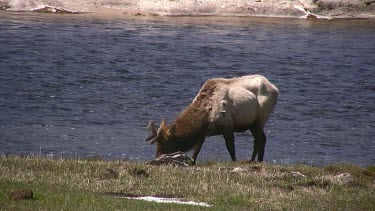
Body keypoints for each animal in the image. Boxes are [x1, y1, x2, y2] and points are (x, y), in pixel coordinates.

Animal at [146, 75, 280, 164]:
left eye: (164, 143)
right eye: (157, 143)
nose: (156, 158)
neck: (204, 118)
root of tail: (275, 89)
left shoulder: (227, 126)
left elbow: (231, 148)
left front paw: (234, 161)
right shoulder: (202, 133)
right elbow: (196, 150)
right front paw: (192, 163)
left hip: (260, 118)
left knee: (258, 139)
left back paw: (252, 160)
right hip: (252, 123)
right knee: (263, 138)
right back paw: (259, 160)